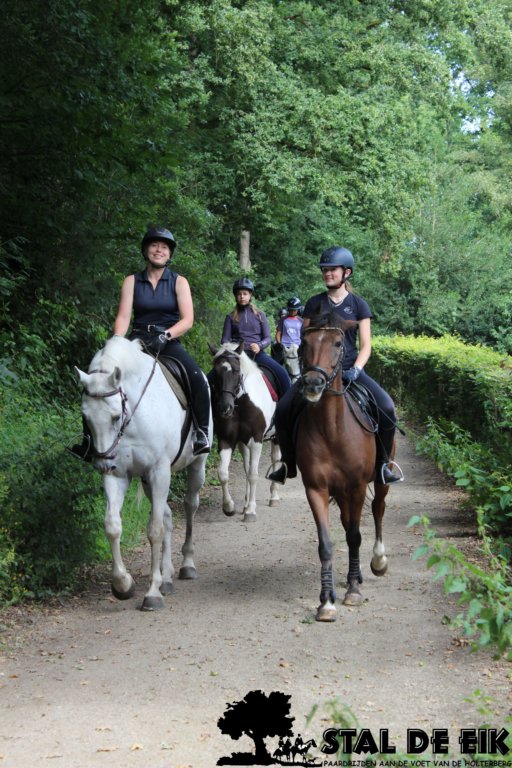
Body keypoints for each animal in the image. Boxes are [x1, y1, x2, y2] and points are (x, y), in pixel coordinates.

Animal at [75, 335, 211, 611]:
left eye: (115, 416)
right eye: (86, 417)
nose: (101, 464)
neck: (135, 415)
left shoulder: (159, 471)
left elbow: (154, 530)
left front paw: (152, 594)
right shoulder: (118, 474)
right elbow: (112, 525)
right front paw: (123, 585)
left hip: (195, 466)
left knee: (190, 506)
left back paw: (186, 565)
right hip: (148, 481)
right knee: (168, 515)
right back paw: (167, 577)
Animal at [208, 341, 281, 522]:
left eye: (236, 370)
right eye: (215, 372)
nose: (225, 408)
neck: (242, 403)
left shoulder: (256, 440)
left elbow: (253, 475)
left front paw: (251, 511)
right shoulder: (226, 440)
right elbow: (223, 473)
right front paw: (229, 507)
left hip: (276, 437)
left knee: (275, 459)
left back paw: (274, 497)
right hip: (243, 443)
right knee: (247, 466)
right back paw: (246, 502)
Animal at [297, 312, 392, 622]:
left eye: (338, 343)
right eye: (304, 343)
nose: (313, 384)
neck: (333, 430)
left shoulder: (357, 486)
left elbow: (354, 536)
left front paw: (353, 591)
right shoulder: (316, 488)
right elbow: (327, 543)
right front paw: (326, 602)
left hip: (379, 481)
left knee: (377, 510)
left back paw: (377, 562)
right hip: (339, 492)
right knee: (346, 519)